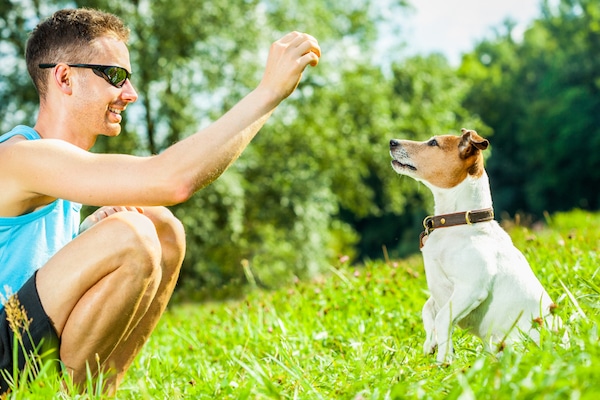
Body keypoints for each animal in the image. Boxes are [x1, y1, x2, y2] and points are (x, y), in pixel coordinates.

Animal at [392, 130, 560, 364]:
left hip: (508, 342)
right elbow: (428, 309)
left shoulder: (470, 288)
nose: (392, 142)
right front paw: (430, 344)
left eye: (433, 143)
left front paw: (443, 362)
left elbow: (442, 318)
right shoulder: (440, 288)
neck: (458, 222)